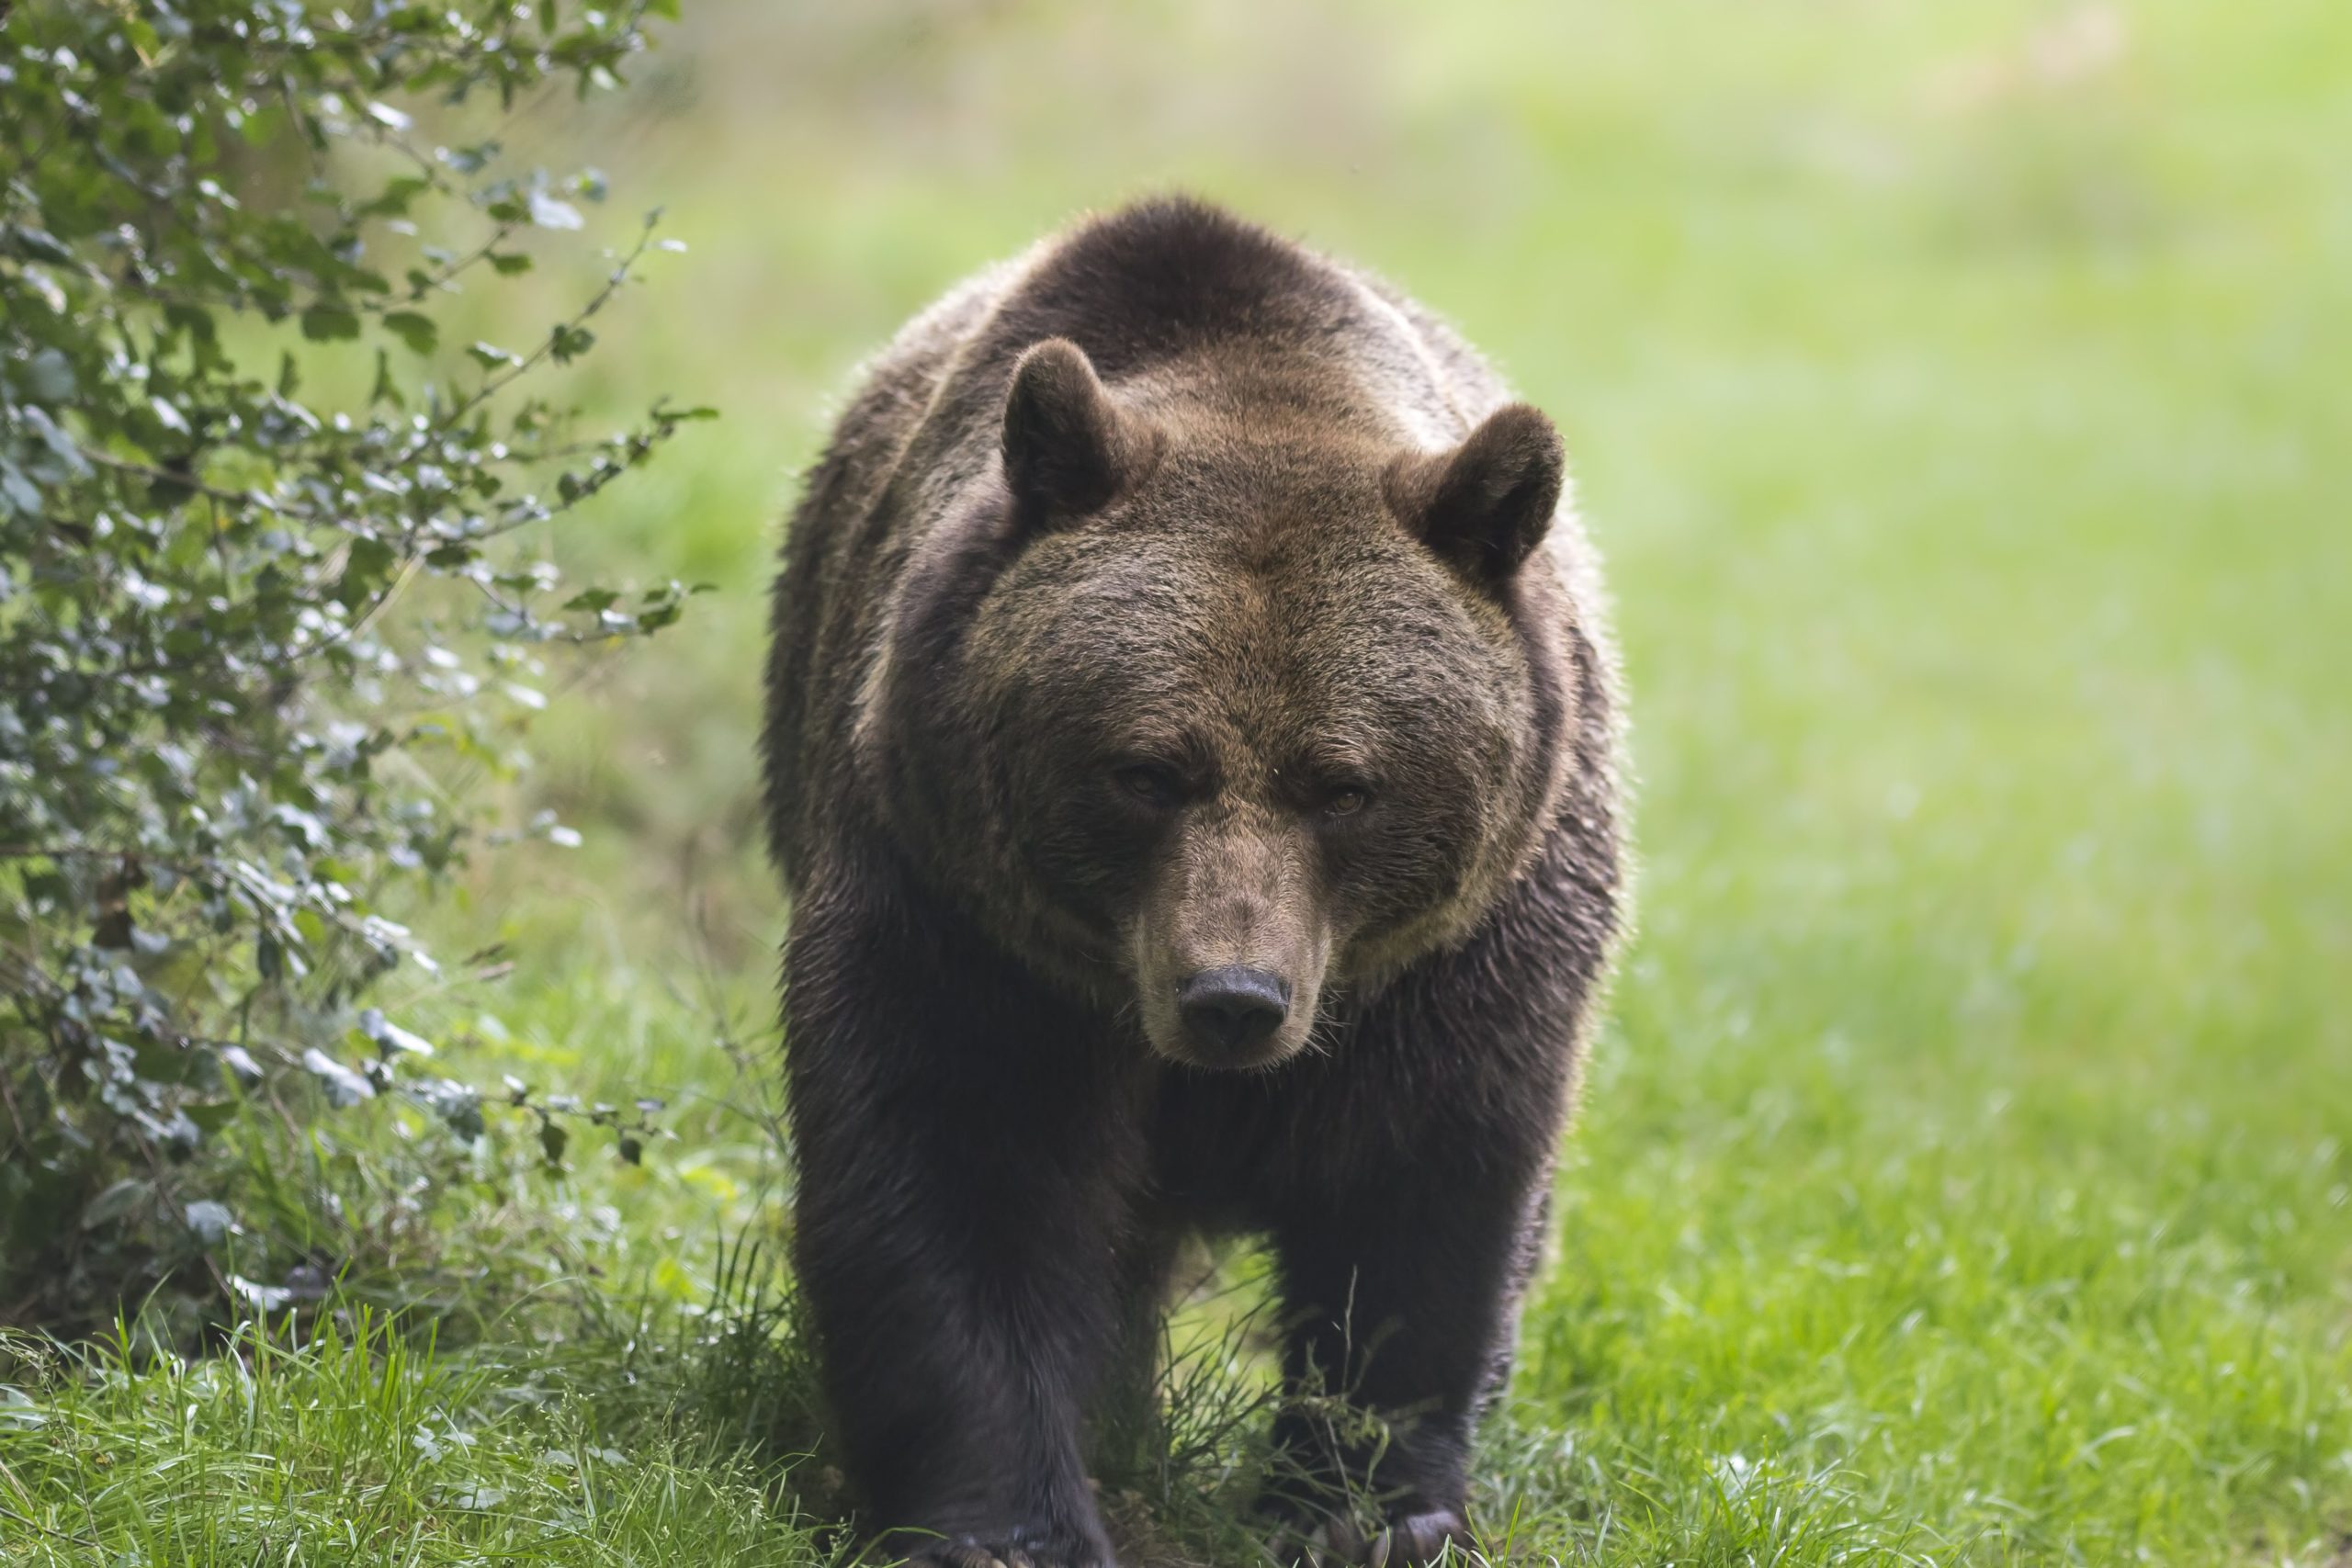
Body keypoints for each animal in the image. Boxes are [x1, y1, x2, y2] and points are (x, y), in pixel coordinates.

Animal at [762, 196, 1627, 1568]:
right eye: (1147, 770)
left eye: (1345, 782)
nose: (1233, 996)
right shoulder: (959, 914)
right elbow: (961, 1172)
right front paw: (1005, 1520)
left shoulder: (1462, 957)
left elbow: (1419, 1196)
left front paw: (1366, 1505)